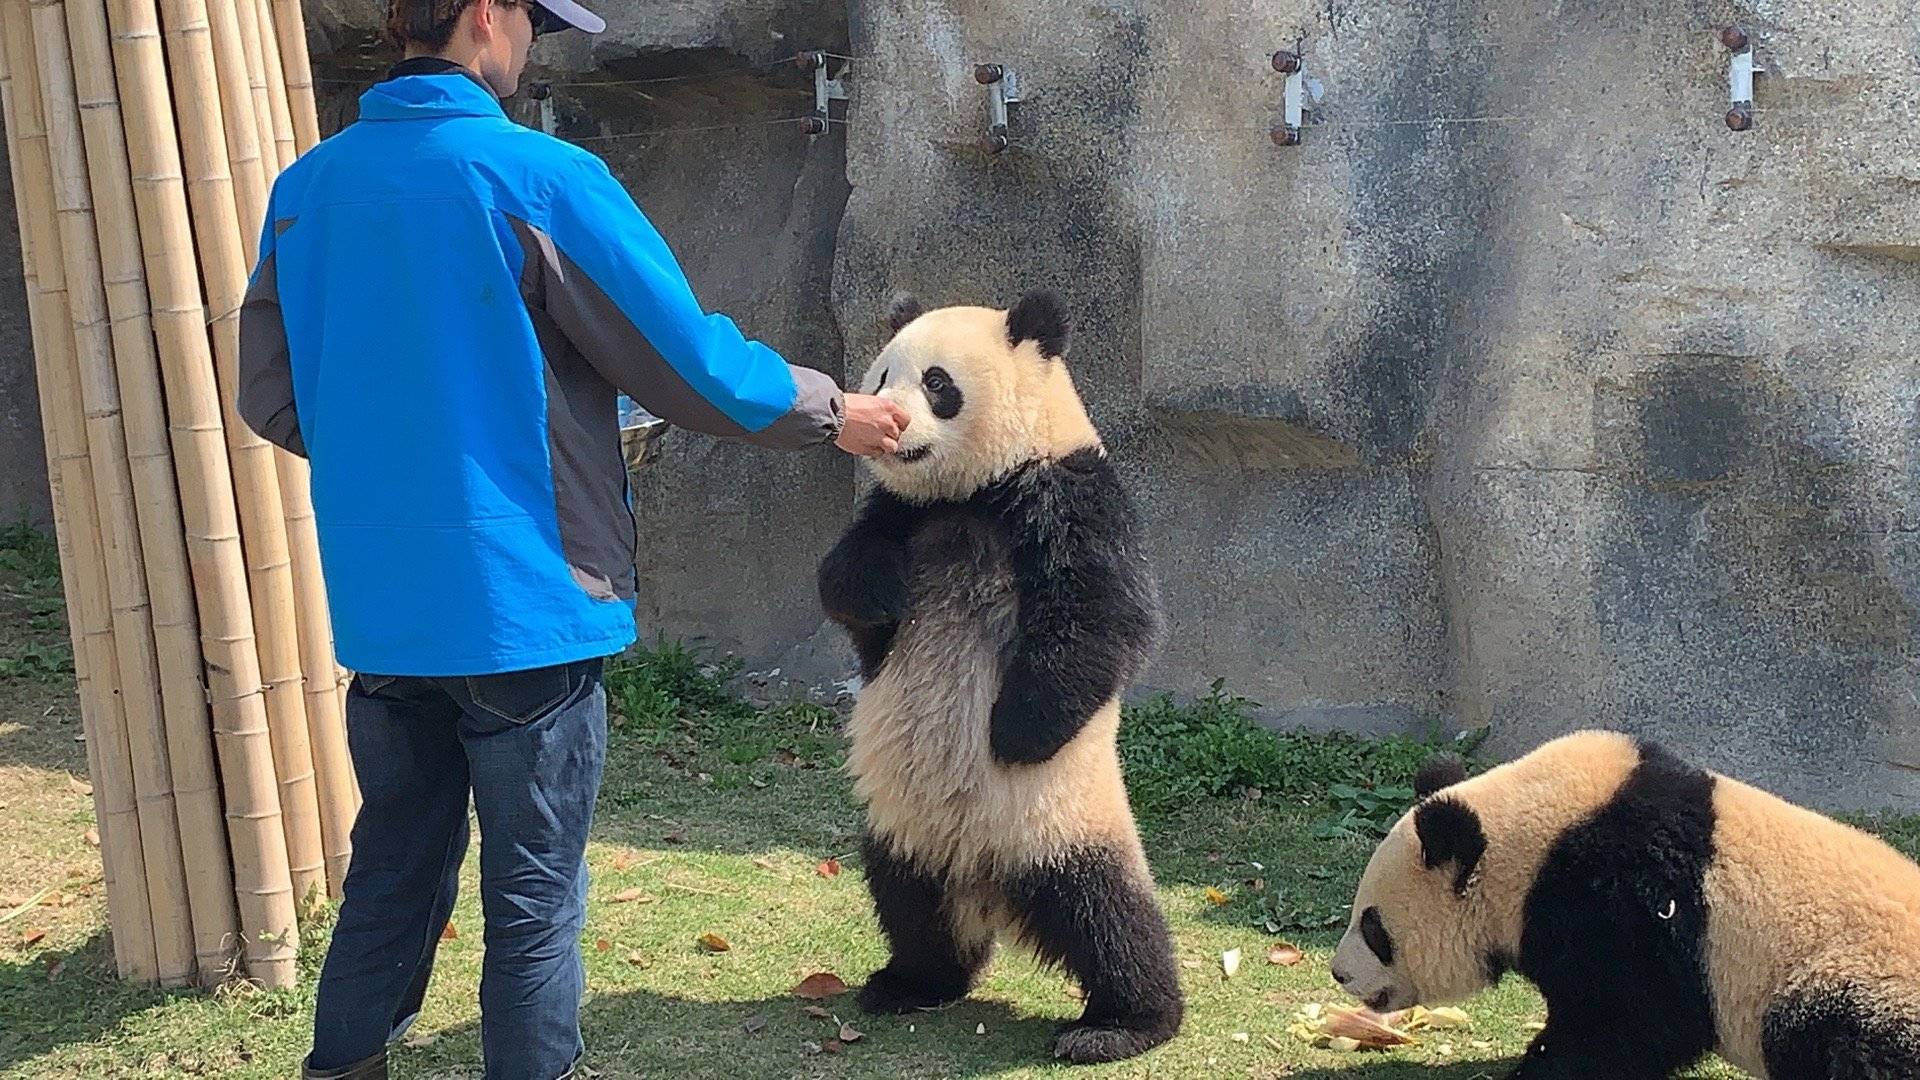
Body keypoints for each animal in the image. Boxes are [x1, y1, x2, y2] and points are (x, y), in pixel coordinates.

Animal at [814, 286, 1182, 1060]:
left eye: (937, 384)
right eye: (880, 378)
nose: (889, 424)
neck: (974, 492)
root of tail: (985, 876)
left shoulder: (1069, 492)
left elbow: (1104, 618)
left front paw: (1015, 732)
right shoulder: (902, 511)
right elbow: (849, 586)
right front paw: (882, 591)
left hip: (1061, 820)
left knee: (1107, 915)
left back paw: (1123, 1024)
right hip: (903, 825)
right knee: (908, 900)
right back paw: (914, 982)